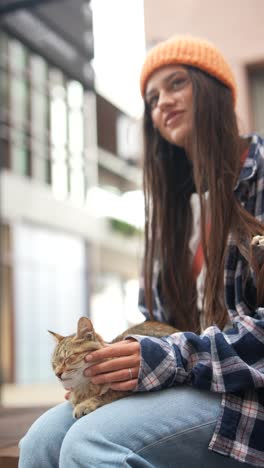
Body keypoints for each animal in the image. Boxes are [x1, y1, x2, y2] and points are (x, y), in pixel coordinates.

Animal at [48, 316, 178, 418]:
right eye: (54, 364)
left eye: (68, 358)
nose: (57, 374)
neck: (85, 387)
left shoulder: (128, 387)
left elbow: (106, 394)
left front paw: (85, 404)